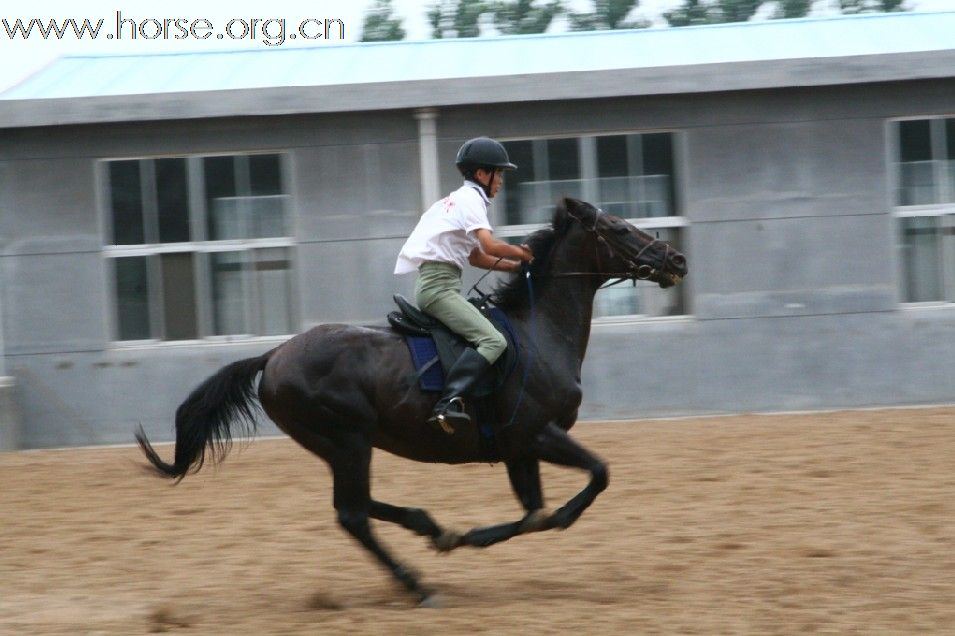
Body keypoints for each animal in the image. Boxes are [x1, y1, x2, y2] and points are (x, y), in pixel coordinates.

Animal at [134, 199, 688, 608]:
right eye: (618, 228)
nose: (676, 260)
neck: (539, 331)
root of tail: (273, 355)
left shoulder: (518, 448)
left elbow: (534, 511)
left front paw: (464, 537)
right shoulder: (537, 434)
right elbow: (595, 476)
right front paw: (493, 533)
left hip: (340, 446)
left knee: (358, 506)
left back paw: (430, 529)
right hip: (348, 440)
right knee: (353, 515)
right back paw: (417, 585)